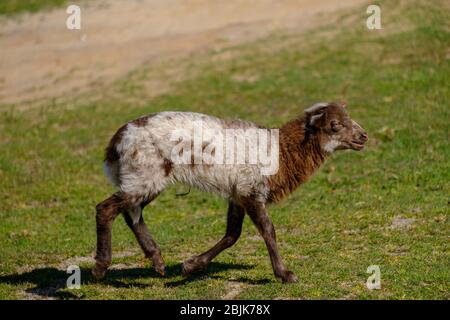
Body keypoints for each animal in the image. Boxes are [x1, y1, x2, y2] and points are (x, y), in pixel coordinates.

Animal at [90, 102, 366, 282]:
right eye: (335, 125)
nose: (363, 136)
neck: (282, 153)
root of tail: (115, 143)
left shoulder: (238, 192)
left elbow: (232, 234)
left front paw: (190, 266)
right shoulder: (251, 189)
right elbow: (268, 231)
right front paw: (285, 274)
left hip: (146, 178)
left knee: (132, 214)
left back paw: (157, 262)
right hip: (145, 173)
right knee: (106, 209)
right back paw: (101, 268)